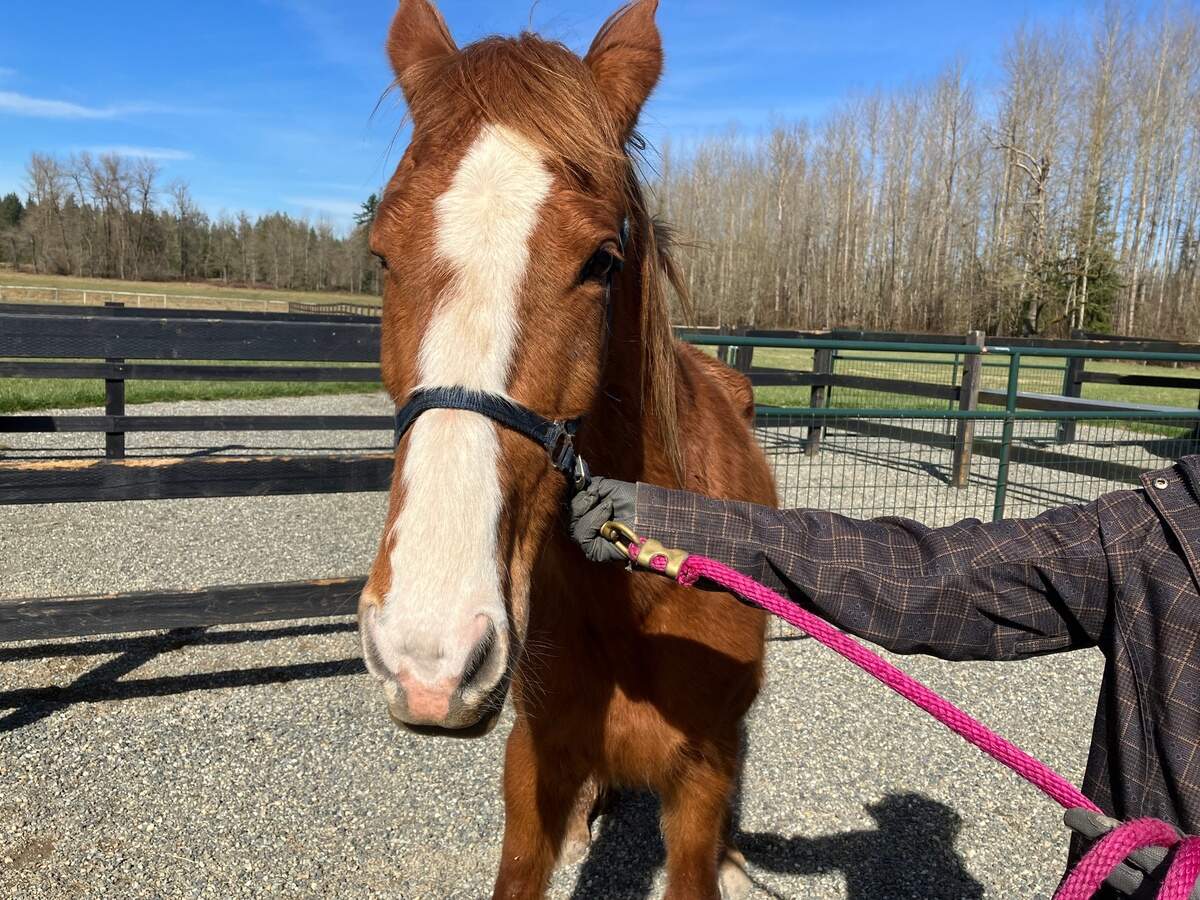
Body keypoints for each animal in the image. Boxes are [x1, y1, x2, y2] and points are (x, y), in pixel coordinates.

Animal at [358, 1, 778, 897]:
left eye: (602, 261)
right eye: (380, 254)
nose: (428, 655)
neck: (638, 602)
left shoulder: (700, 780)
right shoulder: (534, 765)